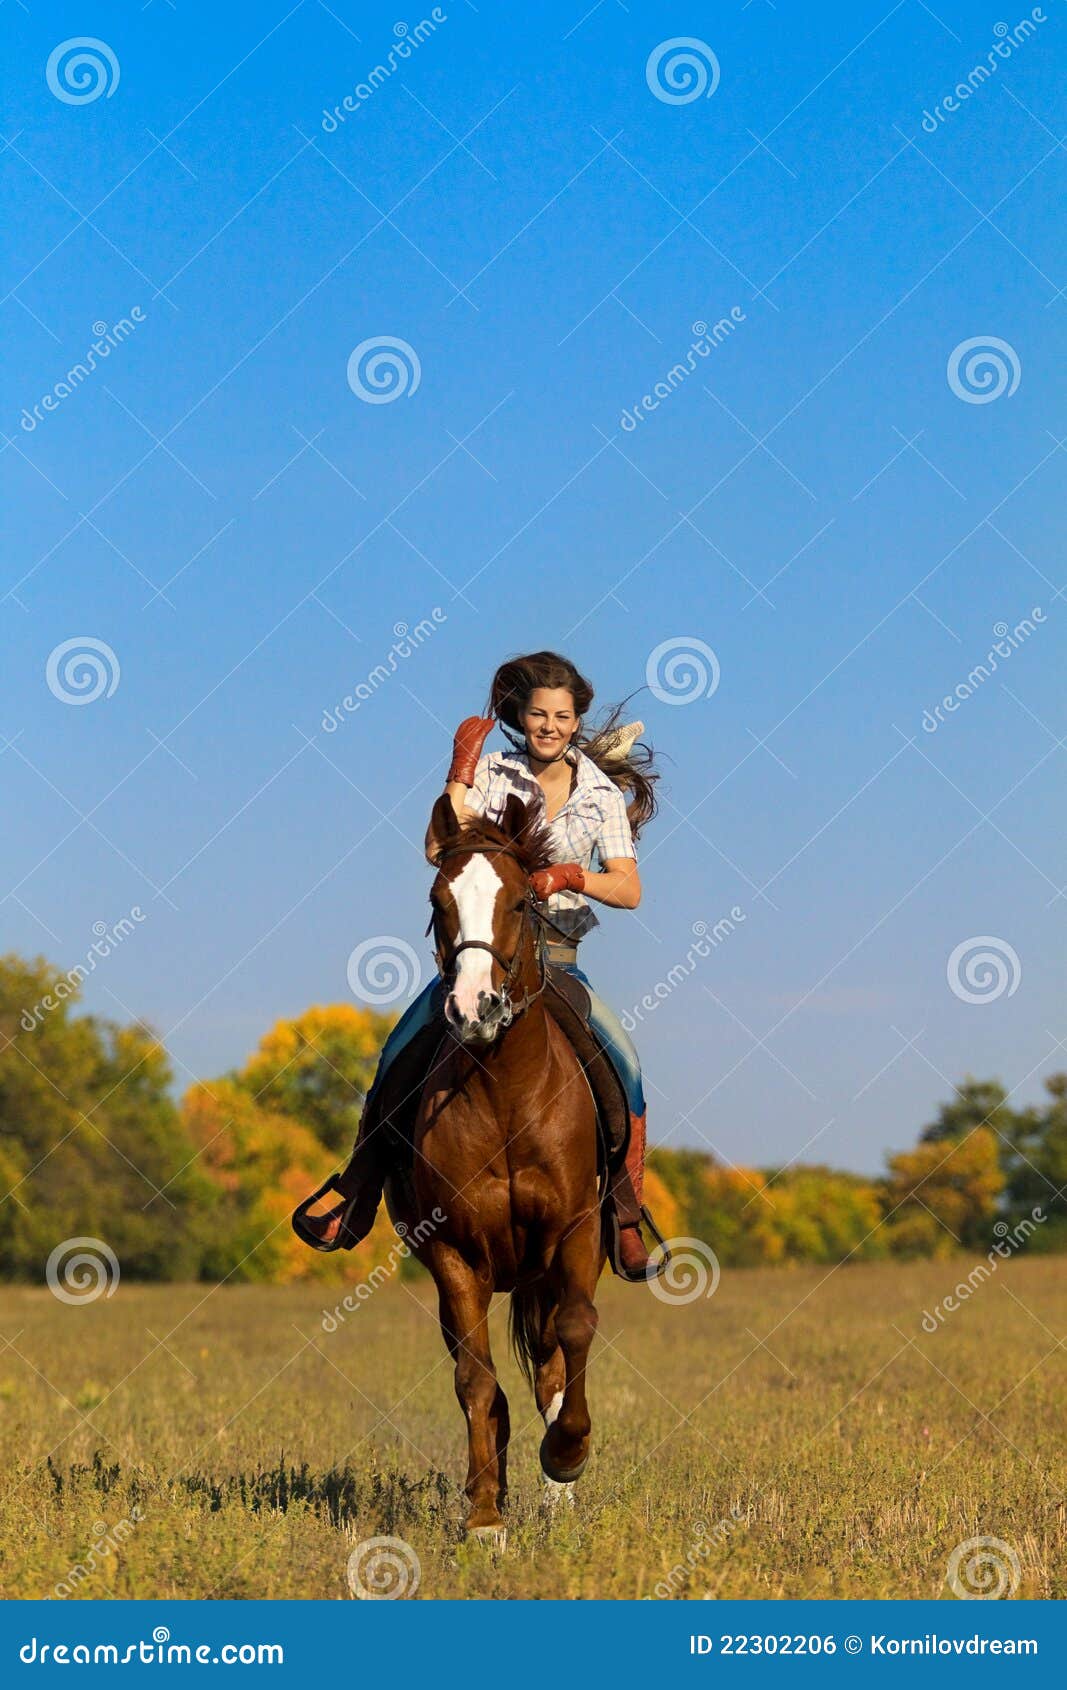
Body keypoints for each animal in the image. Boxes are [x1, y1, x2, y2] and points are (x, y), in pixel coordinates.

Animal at [383, 784, 601, 1541]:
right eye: (437, 902)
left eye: (518, 902)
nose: (473, 1009)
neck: (506, 1090)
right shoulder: (454, 1254)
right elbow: (476, 1381)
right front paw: (484, 1520)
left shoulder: (575, 1231)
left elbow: (573, 1335)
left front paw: (566, 1456)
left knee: (553, 1366)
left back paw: (559, 1491)